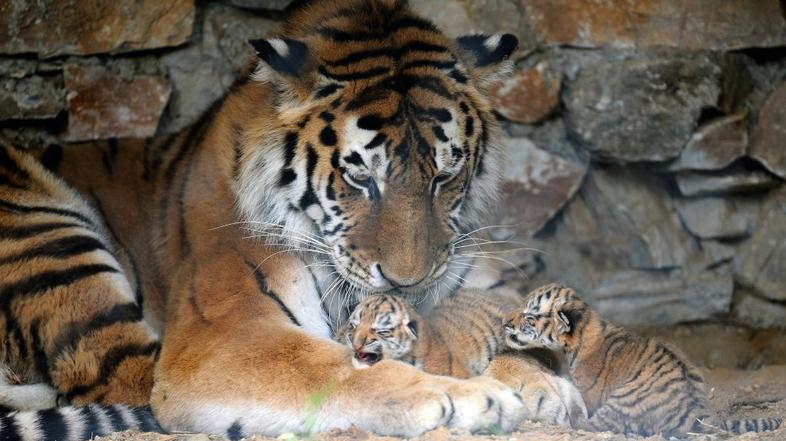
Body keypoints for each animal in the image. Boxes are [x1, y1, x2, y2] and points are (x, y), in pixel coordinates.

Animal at [0, 0, 589, 438]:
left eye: (445, 176)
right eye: (360, 178)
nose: (409, 282)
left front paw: (541, 384)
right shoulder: (223, 335)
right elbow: (337, 367)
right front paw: (472, 397)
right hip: (51, 231)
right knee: (124, 381)